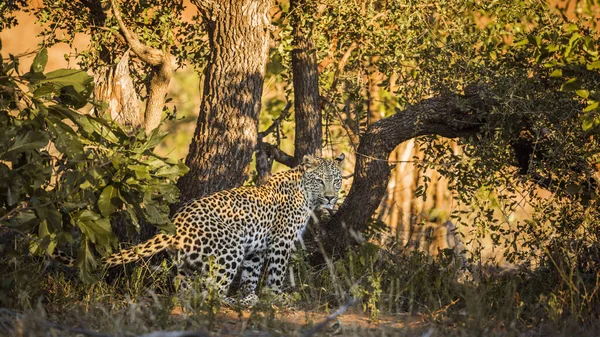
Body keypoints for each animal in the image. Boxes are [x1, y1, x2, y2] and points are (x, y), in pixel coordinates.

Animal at [81, 154, 342, 304]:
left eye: (337, 181)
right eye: (320, 180)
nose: (331, 198)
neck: (307, 194)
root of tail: (177, 223)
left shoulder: (257, 247)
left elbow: (251, 274)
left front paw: (250, 296)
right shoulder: (280, 242)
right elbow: (276, 274)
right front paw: (276, 298)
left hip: (189, 262)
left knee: (187, 289)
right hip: (231, 248)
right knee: (213, 291)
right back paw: (228, 303)